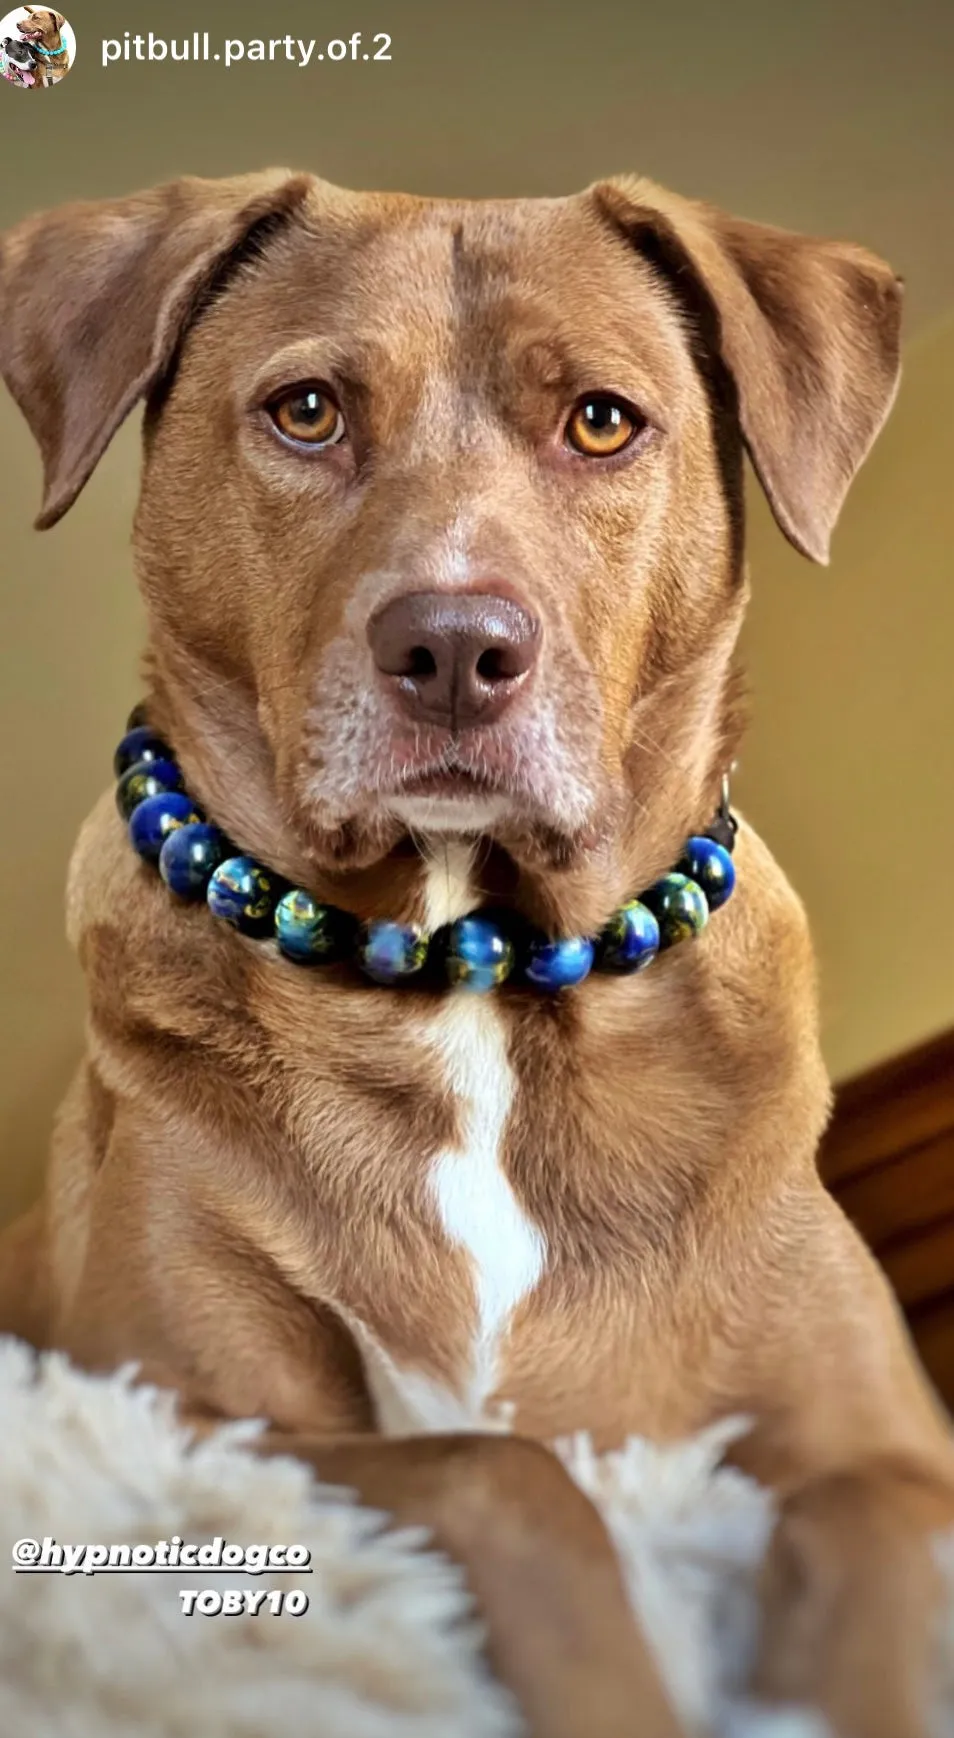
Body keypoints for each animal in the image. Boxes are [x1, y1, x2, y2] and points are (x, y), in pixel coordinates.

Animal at [1, 165, 952, 1738]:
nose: (453, 649)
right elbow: (498, 1467)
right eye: (307, 410)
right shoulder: (189, 1413)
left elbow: (858, 1551)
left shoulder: (883, 1445)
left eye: (602, 421)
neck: (476, 976)